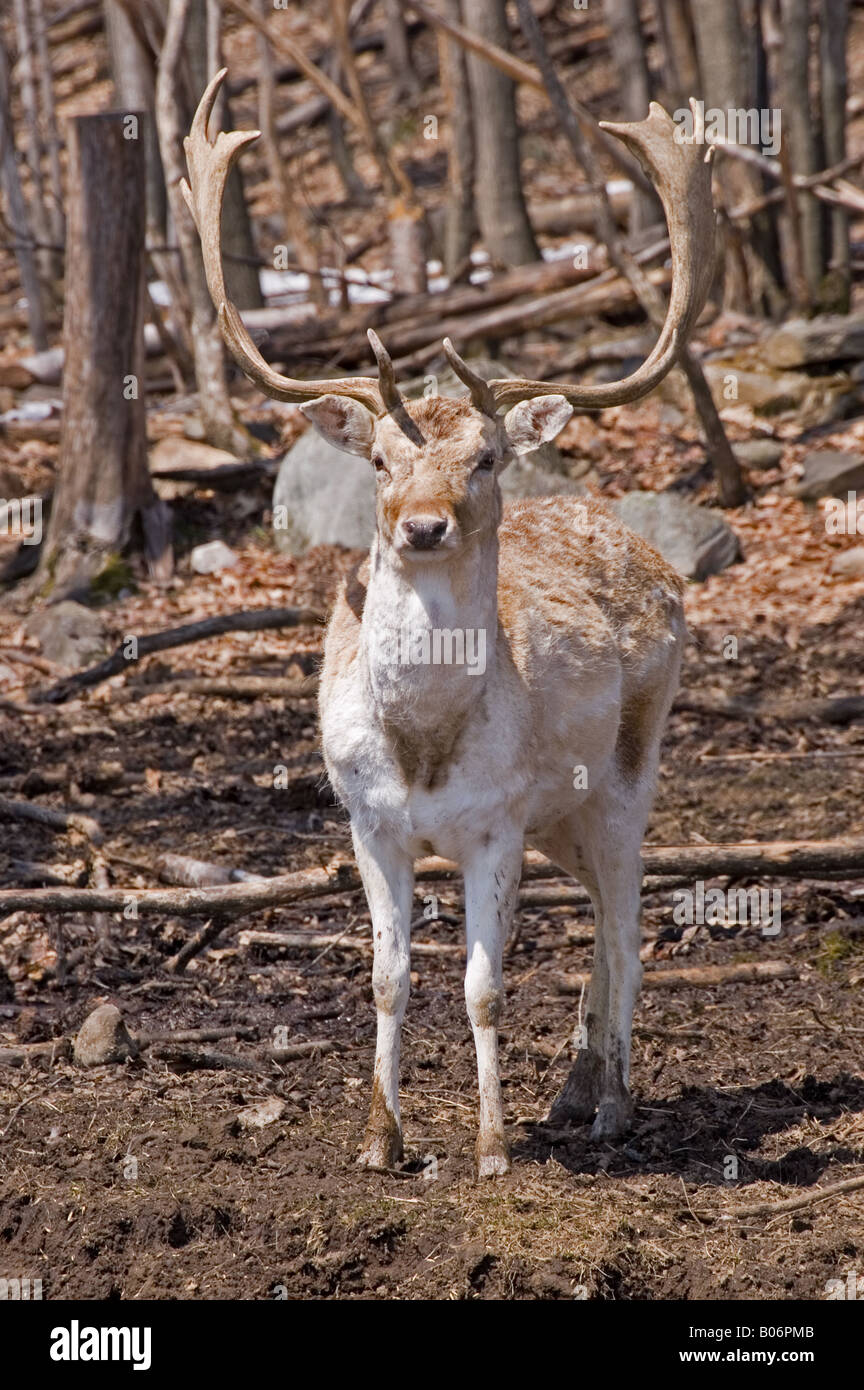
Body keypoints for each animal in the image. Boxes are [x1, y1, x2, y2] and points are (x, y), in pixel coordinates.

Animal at [183, 71, 715, 1177]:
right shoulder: (366, 820)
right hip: (561, 815)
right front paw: (379, 1141)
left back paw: (611, 1103)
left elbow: (484, 985)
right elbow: (385, 977)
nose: (423, 524)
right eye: (382, 458)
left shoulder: (493, 824)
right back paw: (572, 1086)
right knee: (598, 909)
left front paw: (490, 1146)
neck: (423, 744)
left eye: (486, 457)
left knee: (627, 919)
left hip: (628, 771)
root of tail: (642, 544)